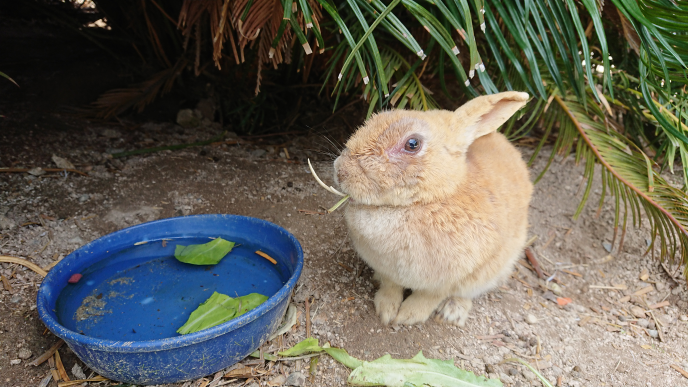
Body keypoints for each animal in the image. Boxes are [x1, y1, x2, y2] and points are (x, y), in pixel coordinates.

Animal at [334, 91, 532, 328]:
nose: (340, 171)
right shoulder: (388, 270)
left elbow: (429, 297)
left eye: (412, 144)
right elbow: (391, 286)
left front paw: (407, 316)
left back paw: (453, 312)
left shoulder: (452, 279)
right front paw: (386, 310)